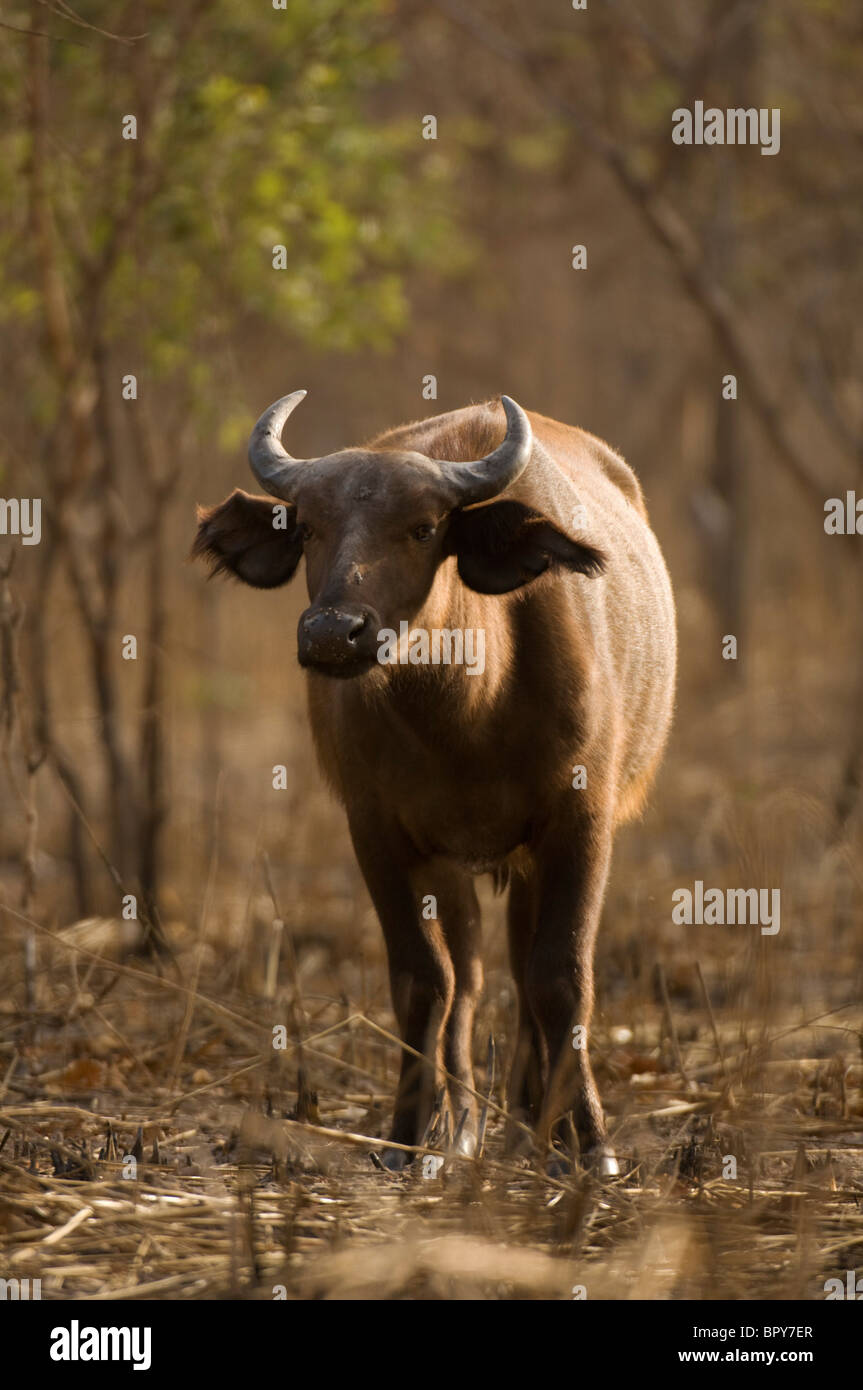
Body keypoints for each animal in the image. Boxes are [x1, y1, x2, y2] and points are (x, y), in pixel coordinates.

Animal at [193, 391, 676, 1172]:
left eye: (422, 528)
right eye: (310, 527)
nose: (332, 633)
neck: (465, 714)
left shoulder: (580, 822)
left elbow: (561, 977)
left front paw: (590, 1141)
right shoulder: (380, 832)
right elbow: (425, 980)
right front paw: (408, 1135)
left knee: (521, 966)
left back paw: (532, 1124)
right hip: (455, 864)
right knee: (471, 977)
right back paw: (473, 1125)